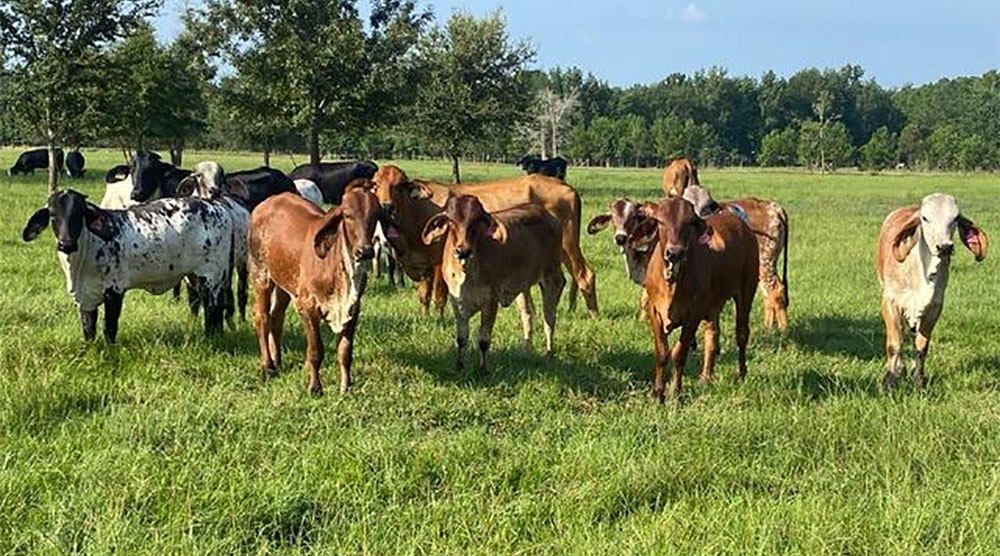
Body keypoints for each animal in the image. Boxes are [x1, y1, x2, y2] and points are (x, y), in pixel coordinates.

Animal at [22, 189, 237, 340]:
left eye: (79, 214)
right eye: (52, 215)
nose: (66, 244)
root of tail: (216, 206)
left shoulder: (114, 291)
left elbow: (109, 329)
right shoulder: (85, 299)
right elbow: (88, 331)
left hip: (212, 276)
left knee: (212, 310)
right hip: (195, 276)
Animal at [248, 189, 380, 398]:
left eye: (375, 215)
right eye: (347, 215)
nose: (365, 251)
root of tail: (266, 203)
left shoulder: (353, 310)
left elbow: (345, 352)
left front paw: (345, 388)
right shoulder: (307, 308)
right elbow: (316, 351)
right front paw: (315, 388)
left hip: (285, 283)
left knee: (276, 316)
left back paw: (277, 361)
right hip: (261, 274)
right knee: (262, 316)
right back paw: (268, 367)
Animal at [420, 195, 568, 374]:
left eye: (476, 221)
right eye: (451, 220)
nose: (463, 251)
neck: (467, 273)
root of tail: (549, 216)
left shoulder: (490, 301)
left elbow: (483, 340)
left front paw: (484, 369)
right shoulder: (457, 302)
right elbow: (461, 338)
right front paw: (460, 366)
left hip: (552, 278)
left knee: (549, 319)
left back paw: (549, 354)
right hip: (522, 287)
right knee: (528, 314)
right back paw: (526, 352)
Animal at [628, 195, 760, 400]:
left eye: (690, 222)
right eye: (660, 221)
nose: (674, 252)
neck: (672, 281)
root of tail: (741, 225)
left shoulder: (693, 315)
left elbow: (679, 354)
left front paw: (675, 393)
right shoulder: (654, 312)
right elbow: (662, 352)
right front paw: (657, 393)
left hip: (746, 292)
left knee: (742, 333)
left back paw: (741, 373)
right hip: (714, 304)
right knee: (712, 335)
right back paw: (706, 376)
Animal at [876, 193, 984, 388]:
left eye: (955, 218)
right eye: (925, 218)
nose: (945, 247)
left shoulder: (934, 307)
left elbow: (921, 347)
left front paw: (918, 381)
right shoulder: (890, 302)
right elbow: (894, 344)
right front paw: (890, 379)